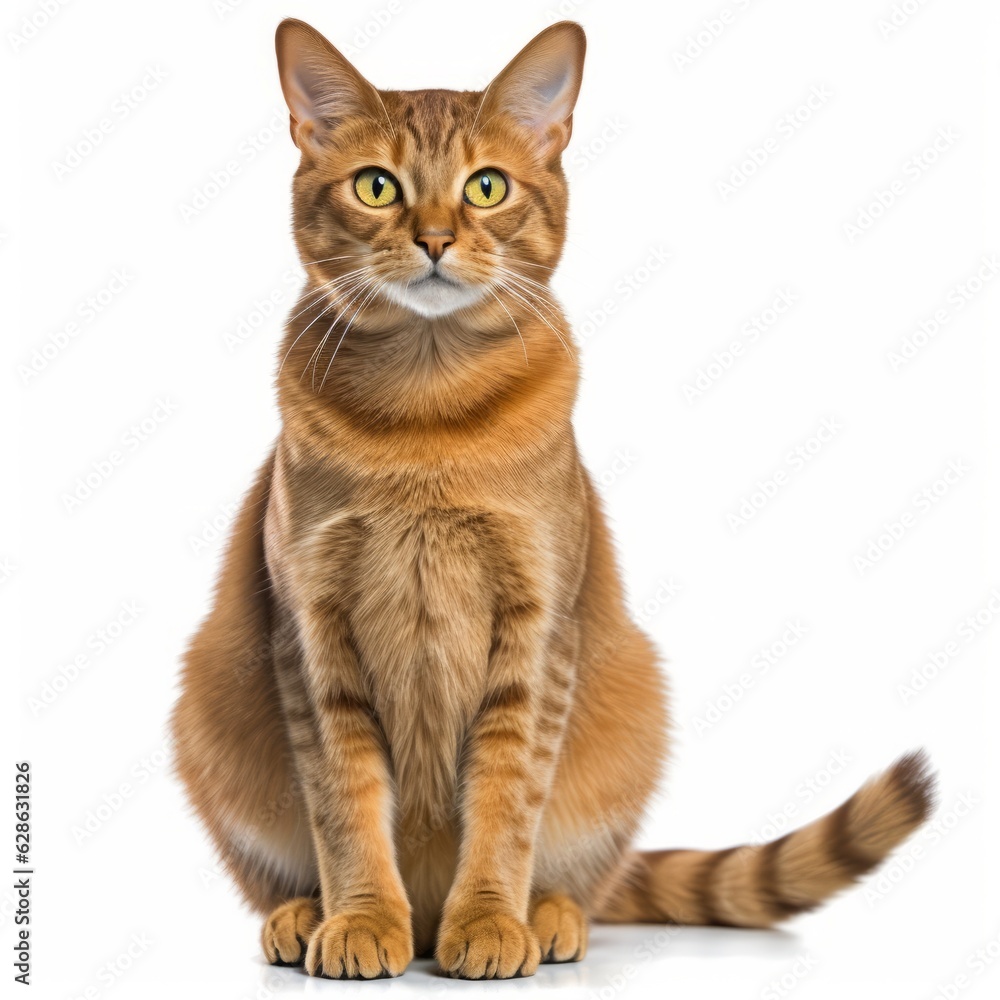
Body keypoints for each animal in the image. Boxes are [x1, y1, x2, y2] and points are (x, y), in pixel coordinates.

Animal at [172, 19, 936, 980]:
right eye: (377, 186)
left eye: (486, 186)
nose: (433, 237)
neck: (427, 416)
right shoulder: (312, 633)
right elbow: (346, 803)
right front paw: (361, 919)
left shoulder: (536, 632)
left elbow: (506, 803)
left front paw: (492, 921)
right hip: (206, 703)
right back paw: (305, 915)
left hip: (632, 704)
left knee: (585, 881)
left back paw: (548, 916)